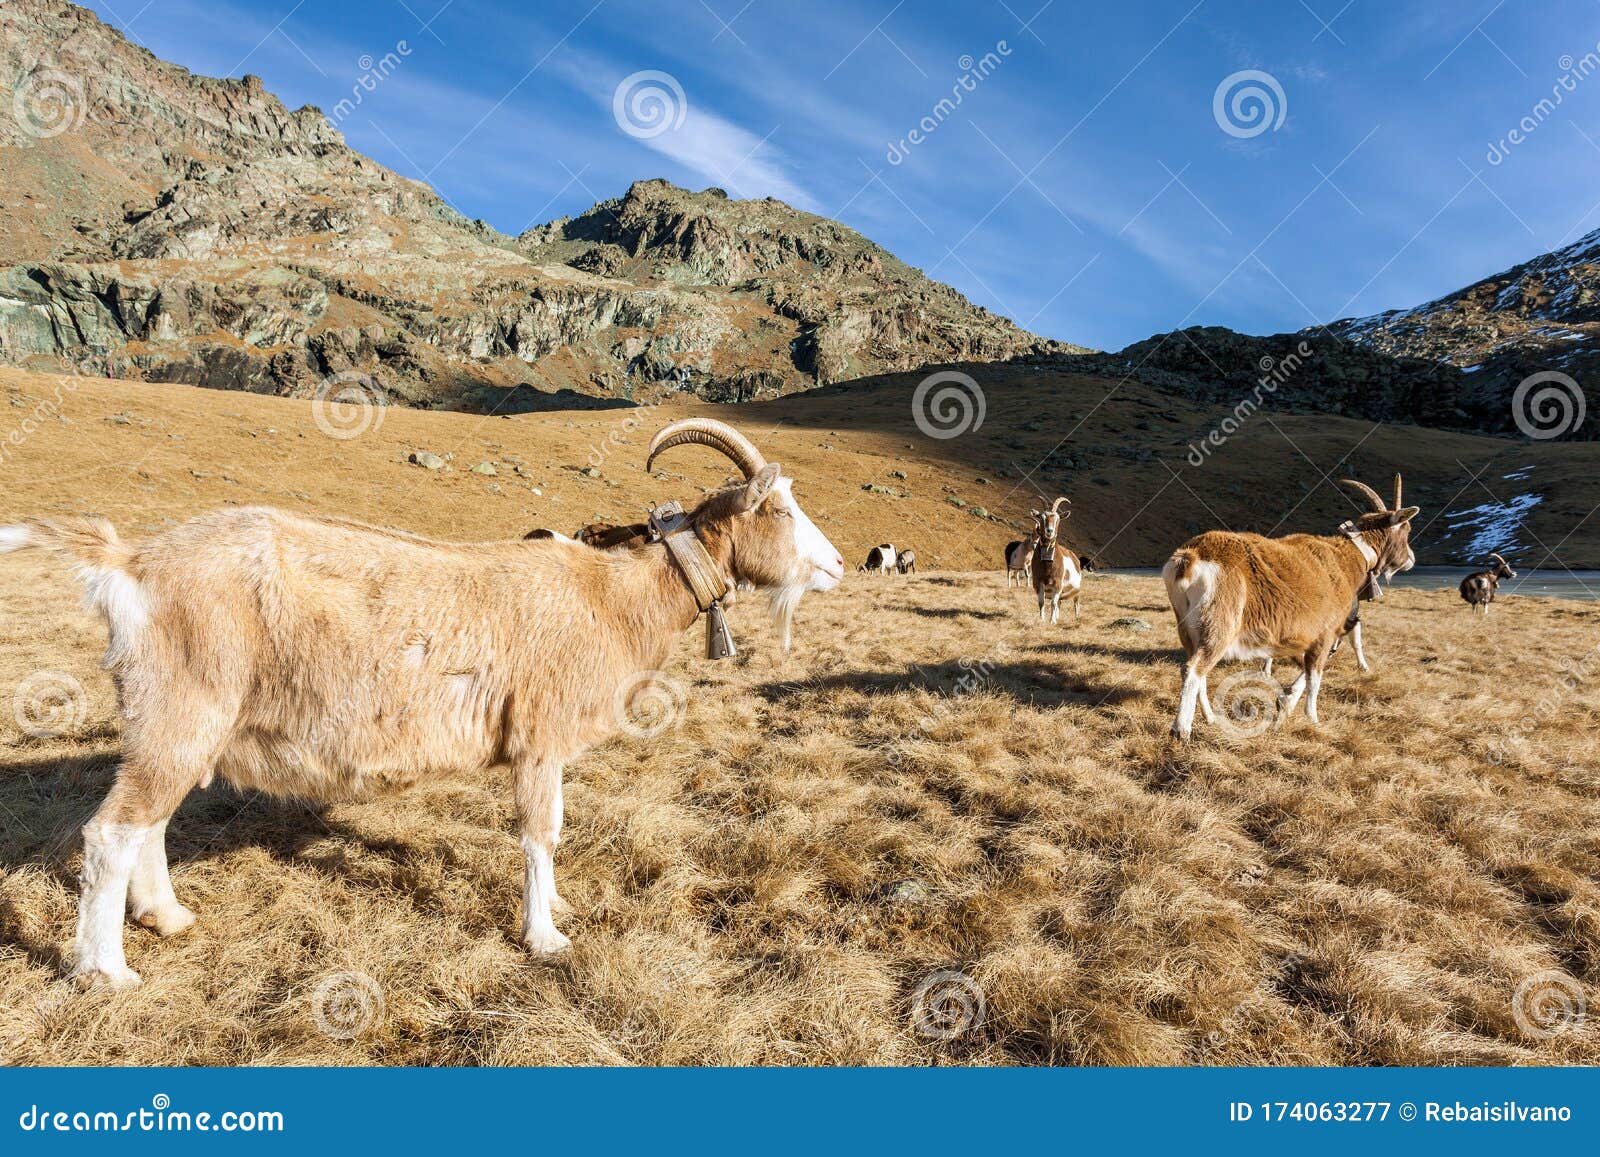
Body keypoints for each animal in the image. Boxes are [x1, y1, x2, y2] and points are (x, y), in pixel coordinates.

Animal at [3, 416, 851, 985]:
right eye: (779, 509)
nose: (839, 564)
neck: (609, 597)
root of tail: (131, 559)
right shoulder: (537, 735)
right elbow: (540, 831)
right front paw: (545, 937)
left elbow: (557, 828)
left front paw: (560, 911)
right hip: (182, 707)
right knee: (112, 832)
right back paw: (106, 970)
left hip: (177, 722)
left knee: (149, 822)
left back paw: (167, 916)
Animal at [1164, 473, 1414, 736]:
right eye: (1407, 529)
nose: (1410, 560)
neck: (1347, 557)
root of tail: (1190, 557)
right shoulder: (1326, 632)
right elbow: (1315, 675)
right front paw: (1312, 719)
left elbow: (1308, 669)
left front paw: (1286, 702)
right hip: (1220, 623)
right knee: (1193, 669)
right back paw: (1181, 730)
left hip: (1188, 627)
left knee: (1197, 668)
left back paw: (1210, 718)